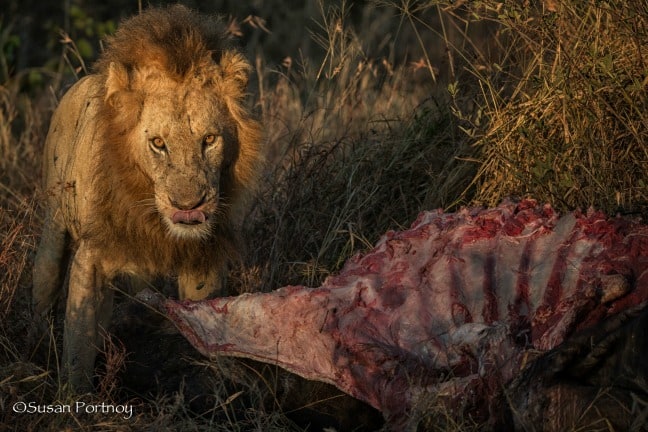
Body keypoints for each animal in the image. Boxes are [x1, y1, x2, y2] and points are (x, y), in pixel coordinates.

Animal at [33, 5, 264, 392]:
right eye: (158, 143)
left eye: (209, 140)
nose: (188, 207)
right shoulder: (92, 257)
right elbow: (79, 339)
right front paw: (74, 397)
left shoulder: (202, 257)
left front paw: (219, 381)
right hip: (53, 233)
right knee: (46, 283)